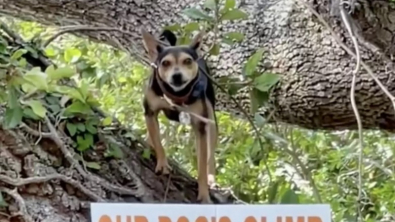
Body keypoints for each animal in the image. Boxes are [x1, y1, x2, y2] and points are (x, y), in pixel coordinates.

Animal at [140, 27, 220, 203]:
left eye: (187, 61)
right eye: (165, 63)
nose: (176, 75)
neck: (177, 95)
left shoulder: (200, 126)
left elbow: (202, 165)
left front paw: (204, 194)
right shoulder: (150, 112)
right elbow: (158, 142)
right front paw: (162, 164)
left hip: (211, 119)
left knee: (210, 156)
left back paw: (211, 179)